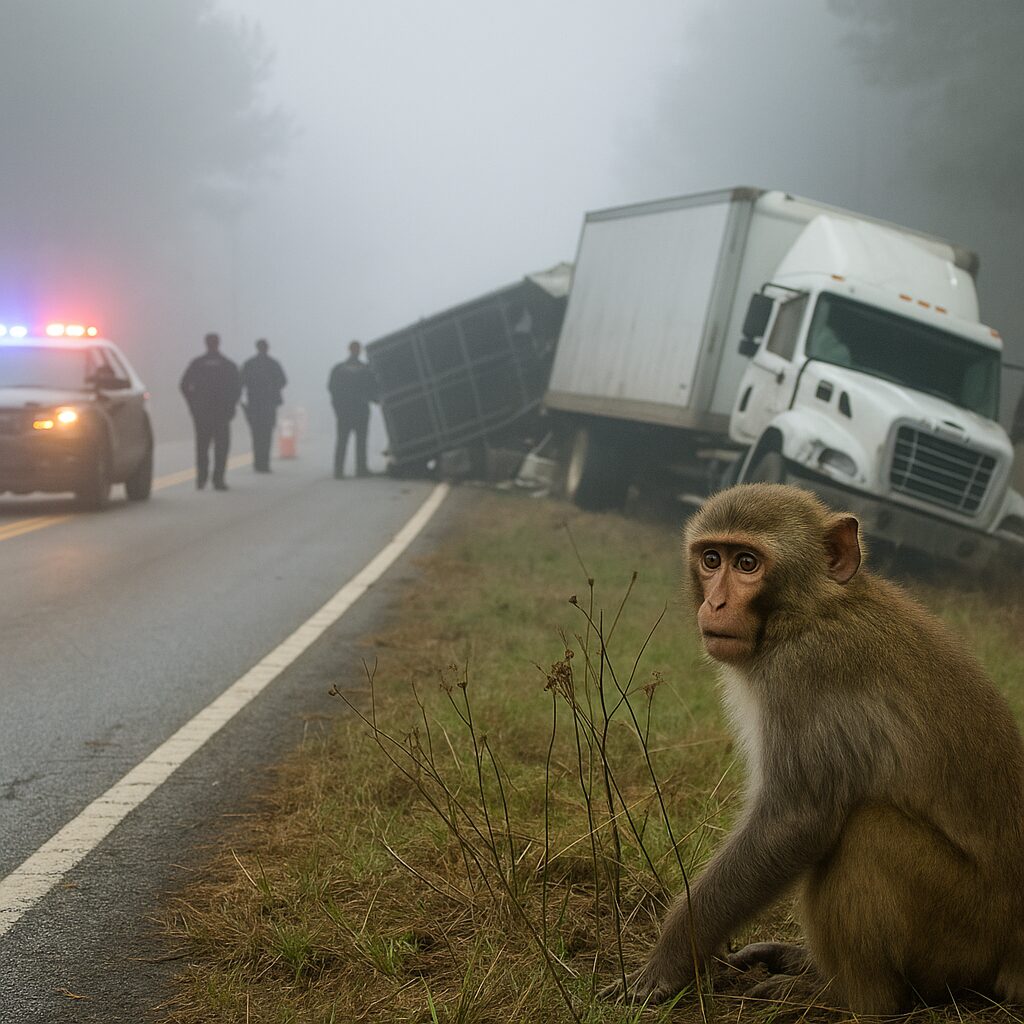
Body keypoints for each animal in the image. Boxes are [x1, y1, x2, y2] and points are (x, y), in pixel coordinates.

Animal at [604, 482, 1024, 1013]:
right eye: (712, 559)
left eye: (747, 563)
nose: (715, 604)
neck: (810, 610)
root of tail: (1013, 948)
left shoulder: (803, 672)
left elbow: (795, 820)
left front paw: (667, 962)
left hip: (964, 933)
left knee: (868, 830)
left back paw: (844, 998)